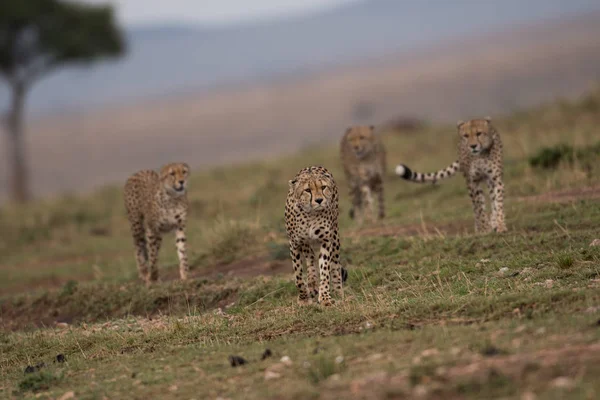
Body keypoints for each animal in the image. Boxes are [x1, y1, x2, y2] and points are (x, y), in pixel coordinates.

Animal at [284, 166, 346, 306]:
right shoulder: (294, 243)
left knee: (335, 265)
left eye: (323, 187)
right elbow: (298, 276)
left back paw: (338, 292)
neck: (309, 214)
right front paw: (303, 298)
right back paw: (312, 283)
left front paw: (325, 298)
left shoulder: (326, 240)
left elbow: (325, 270)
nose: (319, 200)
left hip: (335, 237)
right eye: (307, 190)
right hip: (304, 242)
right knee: (310, 256)